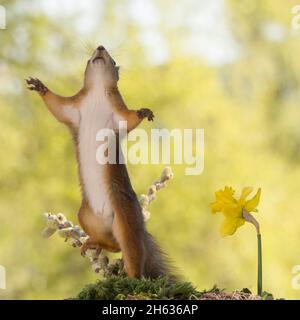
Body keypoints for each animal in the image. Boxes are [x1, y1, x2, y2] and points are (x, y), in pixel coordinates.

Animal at [27, 46, 175, 278]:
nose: (100, 47)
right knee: (112, 245)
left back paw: (131, 277)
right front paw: (39, 86)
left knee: (131, 254)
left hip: (126, 220)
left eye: (112, 60)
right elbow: (57, 106)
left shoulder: (118, 114)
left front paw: (144, 112)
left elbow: (130, 119)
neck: (97, 92)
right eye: (89, 58)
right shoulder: (73, 108)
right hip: (86, 216)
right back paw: (91, 243)